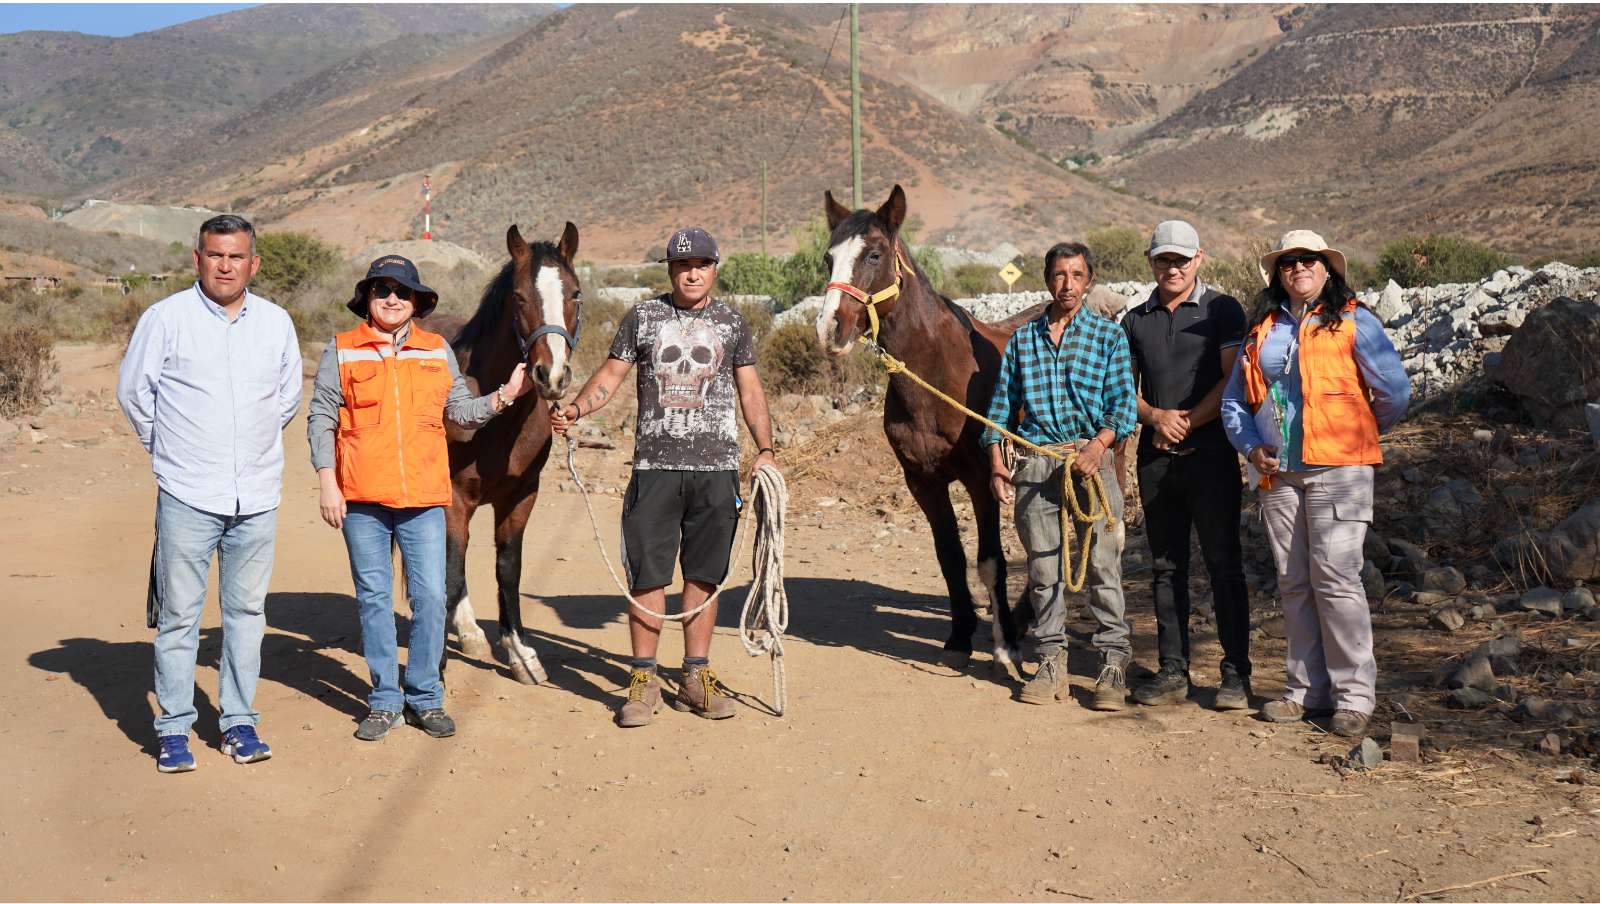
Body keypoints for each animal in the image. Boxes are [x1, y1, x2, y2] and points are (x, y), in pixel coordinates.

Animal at [434, 222, 582, 685]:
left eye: (575, 293)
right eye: (518, 297)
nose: (551, 376)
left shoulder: (521, 497)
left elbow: (508, 569)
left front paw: (521, 653)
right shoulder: (454, 500)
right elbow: (450, 572)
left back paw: (468, 632)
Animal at [814, 185, 1029, 675]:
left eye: (874, 255)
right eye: (828, 258)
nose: (829, 328)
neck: (938, 374)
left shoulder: (981, 481)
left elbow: (990, 562)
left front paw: (1005, 645)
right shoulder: (922, 482)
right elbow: (950, 557)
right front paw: (960, 636)